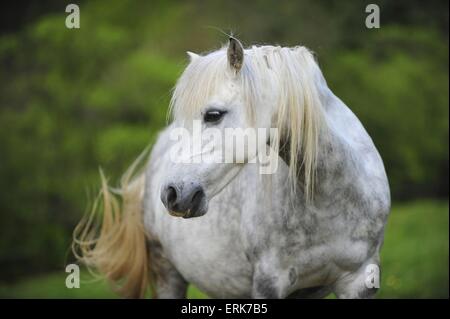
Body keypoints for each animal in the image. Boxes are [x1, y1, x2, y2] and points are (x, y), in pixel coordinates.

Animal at [74, 37, 390, 300]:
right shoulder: (269, 281)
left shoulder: (359, 281)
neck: (330, 197)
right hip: (168, 274)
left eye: (213, 115)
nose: (172, 194)